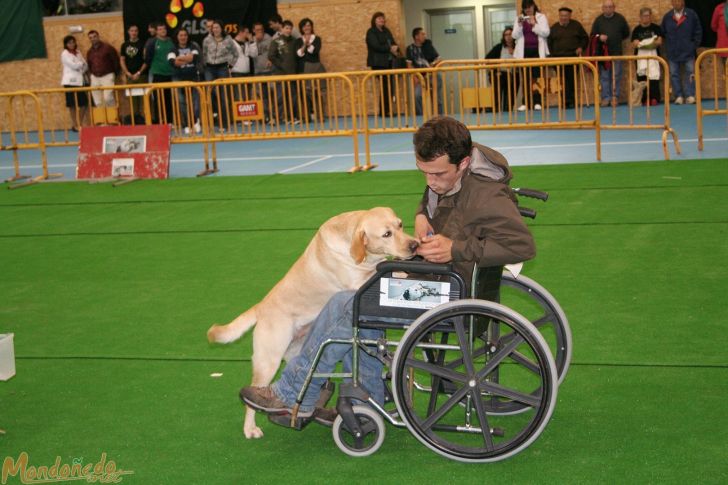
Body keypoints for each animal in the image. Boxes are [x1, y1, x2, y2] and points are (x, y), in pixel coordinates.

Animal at [208, 206, 418, 436]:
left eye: (400, 225)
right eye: (386, 234)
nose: (415, 245)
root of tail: (261, 307)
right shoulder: (357, 282)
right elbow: (381, 271)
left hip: (298, 352)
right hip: (268, 361)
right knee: (253, 395)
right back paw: (251, 427)